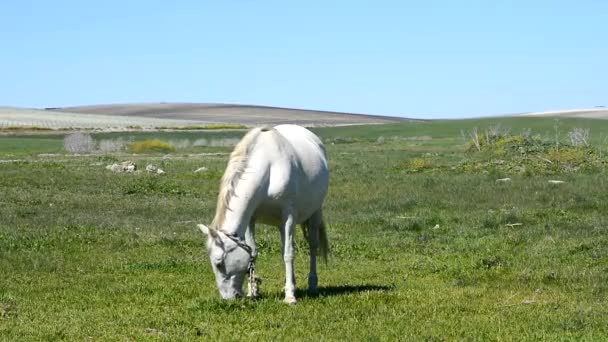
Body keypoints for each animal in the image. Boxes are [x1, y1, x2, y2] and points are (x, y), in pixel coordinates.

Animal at [197, 124, 330, 304]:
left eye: (218, 263)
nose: (227, 298)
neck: (268, 168)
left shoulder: (288, 216)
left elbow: (288, 254)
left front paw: (290, 297)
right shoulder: (251, 218)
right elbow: (253, 252)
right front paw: (253, 291)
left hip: (315, 212)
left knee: (313, 245)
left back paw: (312, 284)